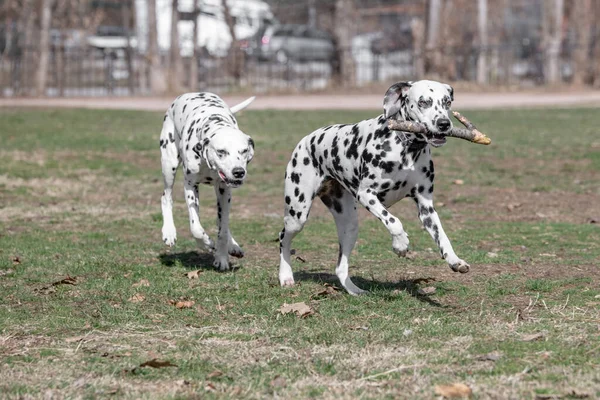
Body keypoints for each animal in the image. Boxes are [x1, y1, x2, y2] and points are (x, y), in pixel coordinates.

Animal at [158, 92, 254, 270]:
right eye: (221, 151)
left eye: (244, 151)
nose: (238, 172)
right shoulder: (190, 186)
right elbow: (195, 226)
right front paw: (206, 243)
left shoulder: (224, 190)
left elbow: (222, 229)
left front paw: (222, 257)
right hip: (169, 164)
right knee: (166, 197)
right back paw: (169, 232)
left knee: (221, 221)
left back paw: (233, 246)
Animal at [276, 80, 468, 294]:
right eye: (423, 102)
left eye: (447, 102)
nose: (444, 123)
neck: (405, 148)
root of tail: (306, 140)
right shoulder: (366, 194)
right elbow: (394, 221)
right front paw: (400, 244)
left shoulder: (426, 207)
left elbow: (442, 235)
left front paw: (455, 260)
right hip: (297, 215)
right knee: (283, 237)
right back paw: (285, 276)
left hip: (350, 226)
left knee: (340, 266)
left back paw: (354, 290)